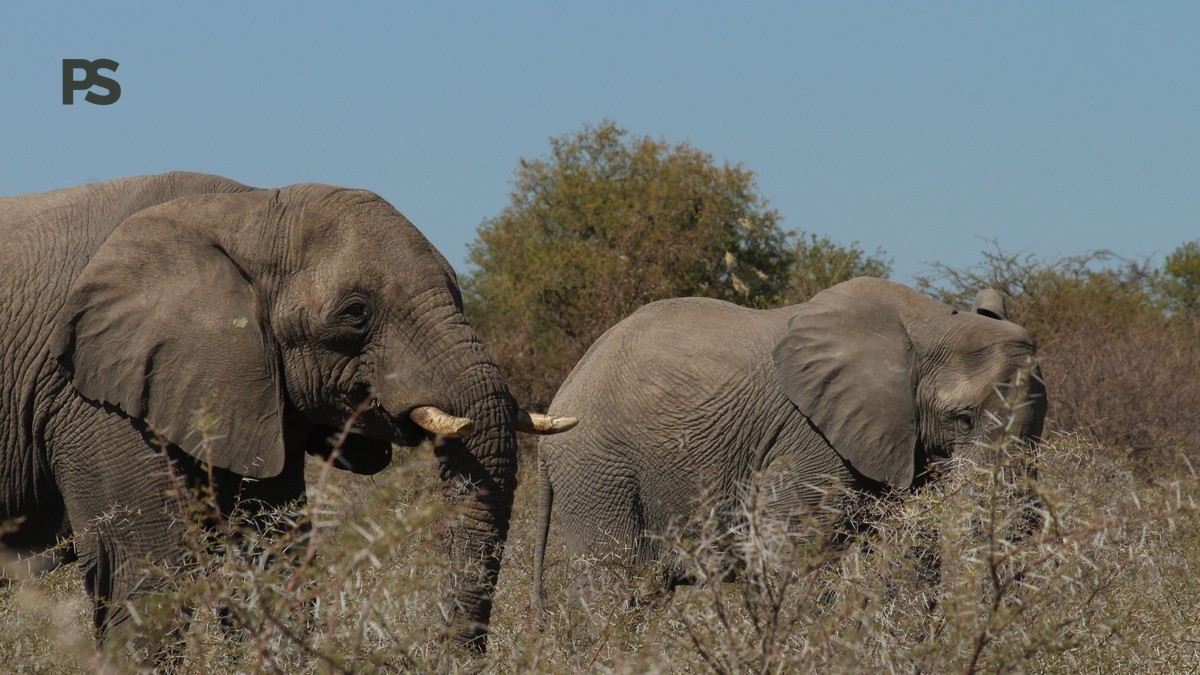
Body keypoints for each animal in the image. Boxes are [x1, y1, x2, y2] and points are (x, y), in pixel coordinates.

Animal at [0, 172, 573, 653]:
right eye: (355, 313)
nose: (448, 651)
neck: (245, 210)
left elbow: (274, 552)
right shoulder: (91, 394)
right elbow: (142, 568)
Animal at [532, 277, 1046, 604]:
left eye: (1040, 429)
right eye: (963, 419)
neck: (932, 324)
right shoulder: (811, 436)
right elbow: (794, 553)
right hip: (599, 471)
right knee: (618, 586)